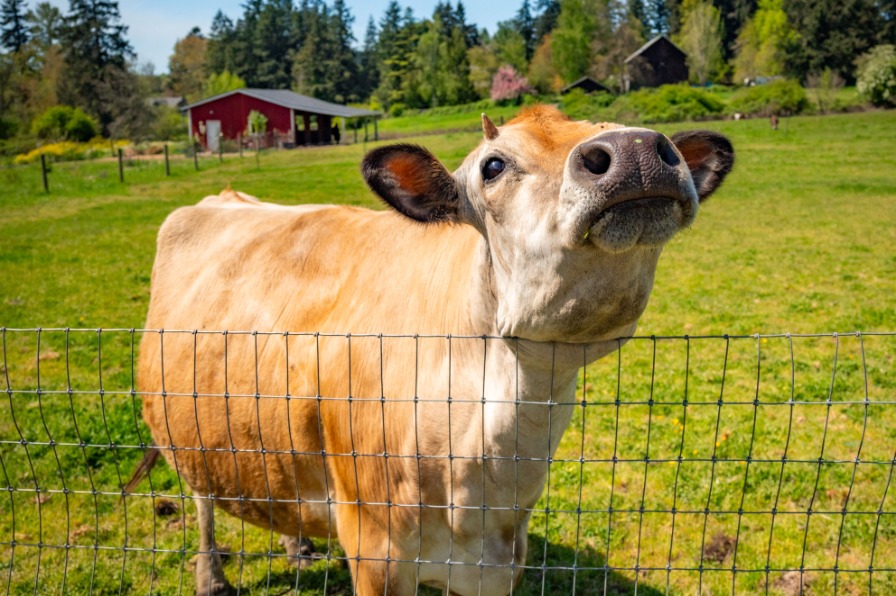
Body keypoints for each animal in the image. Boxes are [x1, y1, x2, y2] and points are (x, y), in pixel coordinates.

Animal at [135, 105, 733, 595]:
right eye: (492, 166)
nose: (636, 151)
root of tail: (226, 194)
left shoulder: (498, 567)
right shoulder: (375, 553)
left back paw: (298, 545)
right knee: (202, 500)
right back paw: (211, 577)